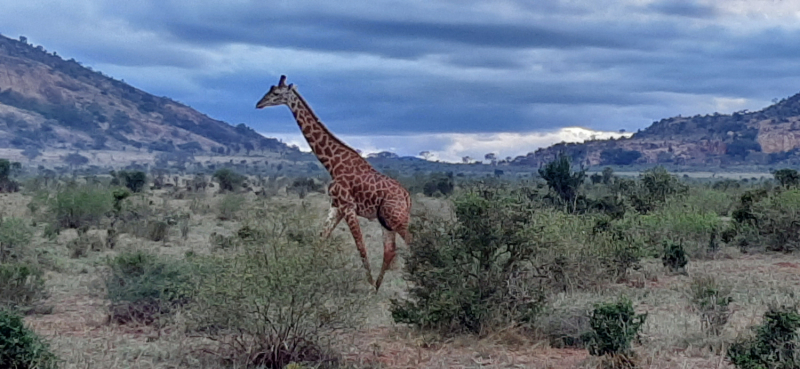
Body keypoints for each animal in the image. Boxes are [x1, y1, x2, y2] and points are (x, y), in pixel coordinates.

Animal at [256, 75, 412, 290]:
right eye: (269, 90)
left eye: (276, 93)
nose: (258, 104)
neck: (333, 164)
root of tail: (407, 196)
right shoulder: (335, 206)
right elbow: (321, 239)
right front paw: (305, 277)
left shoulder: (348, 207)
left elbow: (360, 246)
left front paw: (366, 286)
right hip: (386, 221)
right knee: (390, 250)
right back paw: (378, 288)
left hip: (397, 219)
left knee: (412, 243)